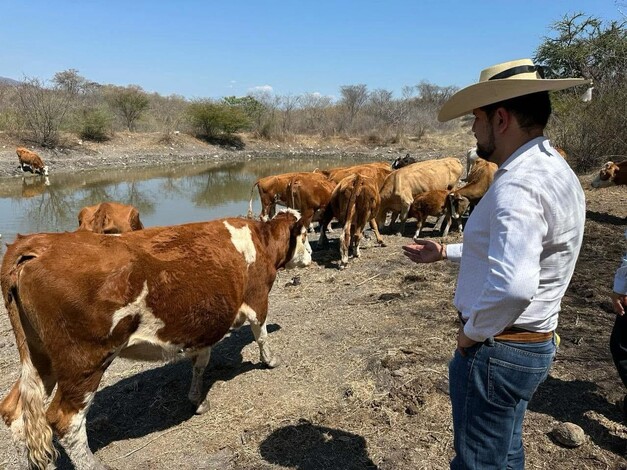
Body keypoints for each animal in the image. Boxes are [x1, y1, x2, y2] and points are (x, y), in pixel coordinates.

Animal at [0, 210, 312, 470]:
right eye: (306, 234)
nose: (310, 255)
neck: (259, 240)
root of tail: (38, 245)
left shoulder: (204, 327)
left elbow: (200, 363)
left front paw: (197, 399)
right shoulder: (258, 300)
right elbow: (261, 335)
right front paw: (271, 360)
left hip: (39, 355)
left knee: (16, 412)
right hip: (83, 362)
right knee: (65, 421)